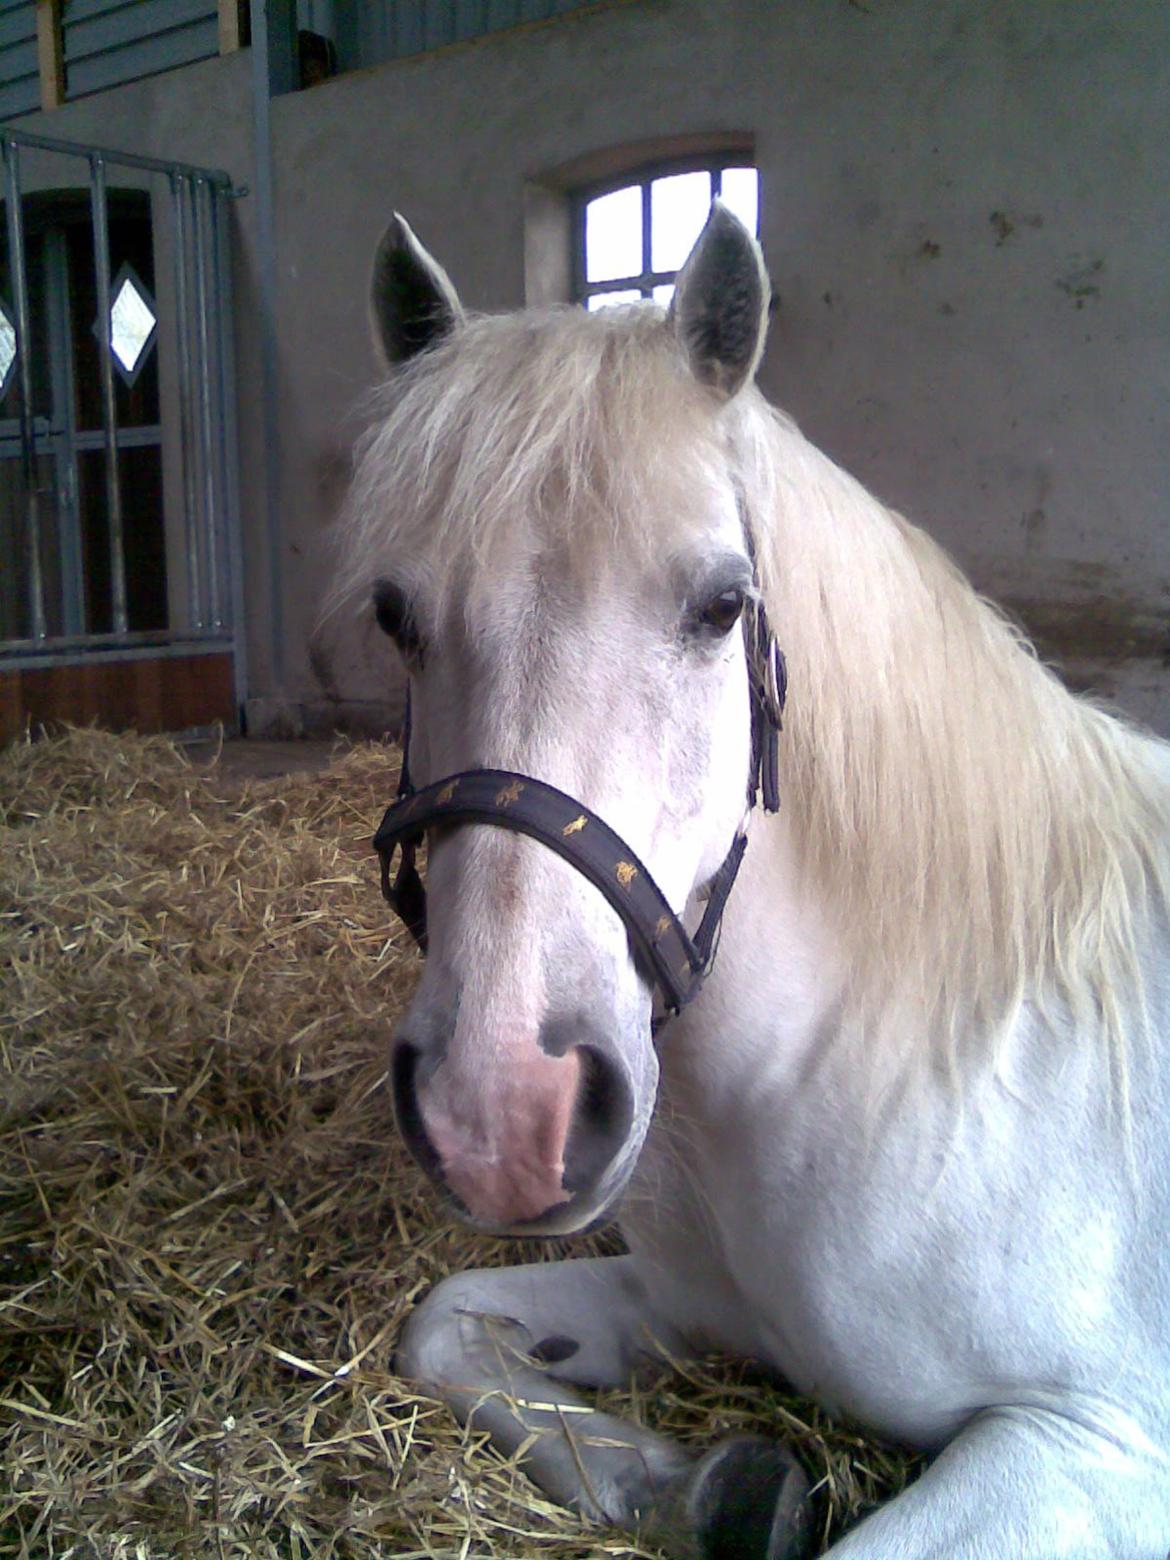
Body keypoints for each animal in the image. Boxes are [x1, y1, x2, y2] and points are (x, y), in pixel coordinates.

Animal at [337, 203, 1170, 1557]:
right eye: (395, 615)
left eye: (724, 605)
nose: (503, 1116)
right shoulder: (685, 1298)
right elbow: (443, 1321)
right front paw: (694, 1485)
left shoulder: (1093, 1437)